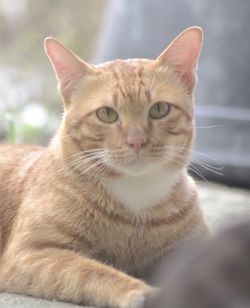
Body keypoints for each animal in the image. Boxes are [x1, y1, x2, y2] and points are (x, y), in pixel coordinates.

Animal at [0, 27, 208, 308]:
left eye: (159, 109)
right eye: (106, 114)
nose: (137, 141)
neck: (136, 197)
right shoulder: (30, 254)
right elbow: (91, 271)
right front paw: (141, 291)